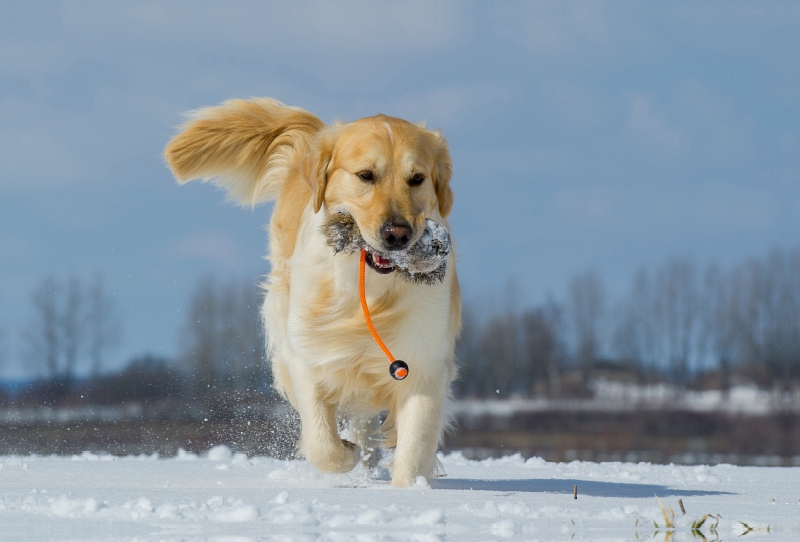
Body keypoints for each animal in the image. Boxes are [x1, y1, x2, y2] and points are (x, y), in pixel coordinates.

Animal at [166, 98, 460, 488]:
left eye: (417, 179)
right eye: (366, 175)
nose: (397, 234)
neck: (370, 290)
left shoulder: (425, 365)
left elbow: (413, 449)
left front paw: (408, 491)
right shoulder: (309, 355)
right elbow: (323, 444)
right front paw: (345, 452)